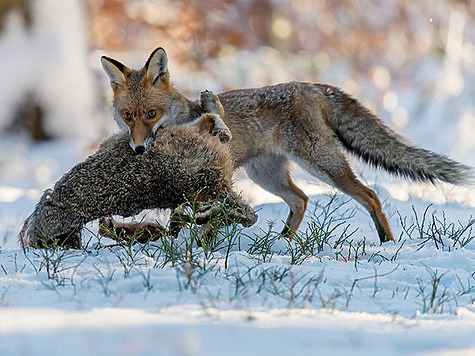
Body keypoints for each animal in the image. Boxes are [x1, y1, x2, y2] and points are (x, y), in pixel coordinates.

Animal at [100, 47, 472, 243]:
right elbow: (181, 218)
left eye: (151, 113)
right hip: (267, 176)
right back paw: (281, 243)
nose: (138, 150)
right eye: (128, 116)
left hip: (322, 164)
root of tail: (311, 85)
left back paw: (387, 245)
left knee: (370, 196)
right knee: (301, 199)